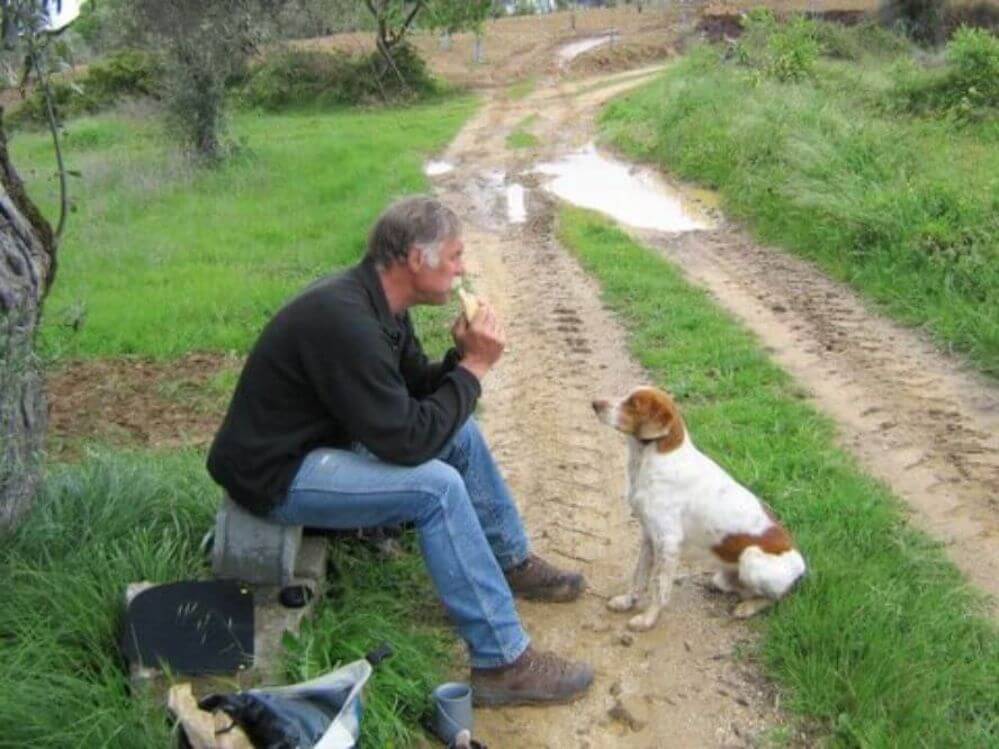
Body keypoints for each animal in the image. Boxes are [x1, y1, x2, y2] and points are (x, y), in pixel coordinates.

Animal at [588, 382, 808, 628]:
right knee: (738, 587)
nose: (595, 403)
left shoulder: (668, 541)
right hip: (727, 573)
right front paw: (627, 601)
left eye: (633, 404)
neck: (649, 459)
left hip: (751, 559)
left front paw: (647, 620)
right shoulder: (648, 536)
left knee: (776, 597)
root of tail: (801, 568)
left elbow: (659, 587)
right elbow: (639, 577)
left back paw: (748, 607)